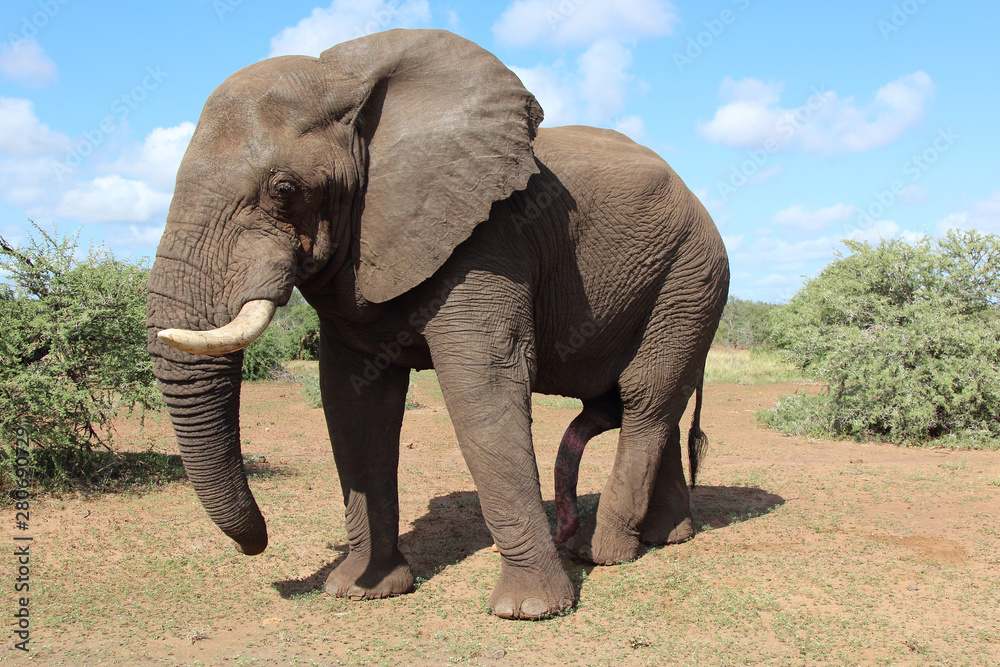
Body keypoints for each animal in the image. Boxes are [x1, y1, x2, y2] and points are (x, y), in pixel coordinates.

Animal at [147, 29, 729, 620]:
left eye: (284, 189)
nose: (261, 541)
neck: (347, 78)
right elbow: (353, 399)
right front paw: (361, 590)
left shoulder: (489, 237)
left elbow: (483, 381)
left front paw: (529, 611)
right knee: (658, 404)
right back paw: (664, 538)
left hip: (691, 276)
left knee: (645, 397)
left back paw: (599, 553)